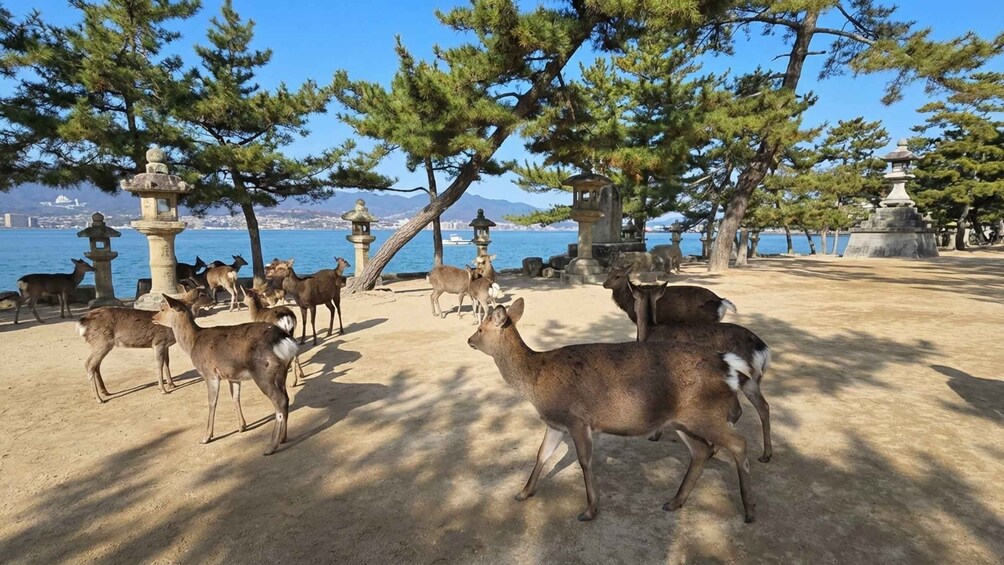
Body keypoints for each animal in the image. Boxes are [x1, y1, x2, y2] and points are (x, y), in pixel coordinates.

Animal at [152, 294, 298, 455]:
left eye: (162, 308)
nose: (153, 317)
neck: (192, 343)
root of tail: (284, 340)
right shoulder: (233, 376)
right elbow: (235, 397)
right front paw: (242, 427)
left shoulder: (210, 373)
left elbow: (212, 403)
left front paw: (206, 437)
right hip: (281, 372)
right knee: (286, 397)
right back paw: (283, 438)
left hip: (263, 373)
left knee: (280, 401)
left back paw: (271, 447)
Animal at [468, 298, 756, 523]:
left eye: (480, 328)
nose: (469, 340)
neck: (536, 383)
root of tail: (727, 366)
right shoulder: (555, 422)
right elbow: (542, 454)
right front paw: (523, 493)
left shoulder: (577, 419)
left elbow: (584, 461)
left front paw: (589, 510)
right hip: (684, 420)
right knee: (702, 451)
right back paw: (674, 502)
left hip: (706, 414)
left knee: (739, 443)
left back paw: (749, 511)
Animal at [630, 281, 773, 462]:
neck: (650, 330)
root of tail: (764, 350)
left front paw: (654, 436)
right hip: (752, 380)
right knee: (763, 407)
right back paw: (765, 455)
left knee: (738, 410)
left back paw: (714, 450)